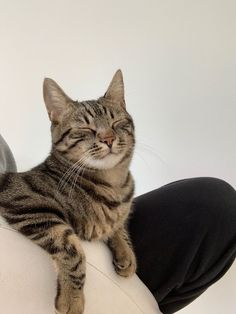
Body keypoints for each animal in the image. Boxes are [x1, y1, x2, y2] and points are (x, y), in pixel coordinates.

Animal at [0, 70, 136, 314]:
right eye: (86, 129)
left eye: (117, 122)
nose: (108, 139)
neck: (113, 185)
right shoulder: (26, 201)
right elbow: (72, 249)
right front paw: (73, 298)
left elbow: (119, 226)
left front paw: (126, 254)